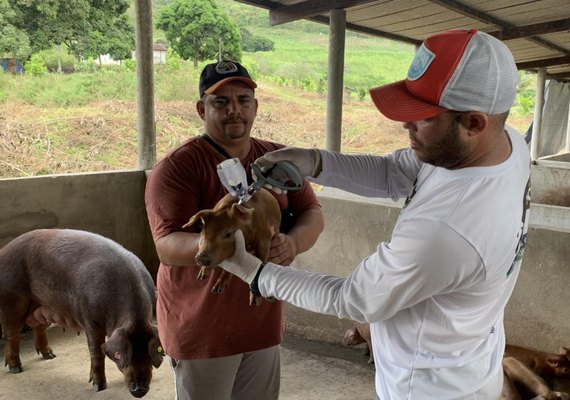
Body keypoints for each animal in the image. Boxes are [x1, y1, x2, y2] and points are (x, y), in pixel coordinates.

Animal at [0, 228, 164, 396]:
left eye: (149, 353)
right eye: (120, 354)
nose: (139, 389)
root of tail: (4, 250)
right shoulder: (90, 319)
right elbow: (96, 351)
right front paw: (99, 387)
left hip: (40, 304)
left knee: (38, 327)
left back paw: (50, 356)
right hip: (11, 299)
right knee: (11, 334)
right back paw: (16, 368)